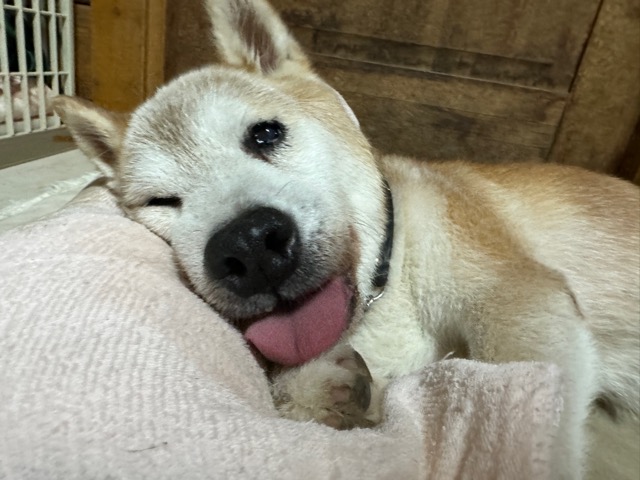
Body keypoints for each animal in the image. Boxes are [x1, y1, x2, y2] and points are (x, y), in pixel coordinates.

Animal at [53, 0, 639, 477]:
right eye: (163, 201)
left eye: (266, 134)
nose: (248, 246)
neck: (387, 295)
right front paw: (318, 391)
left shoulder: (515, 296)